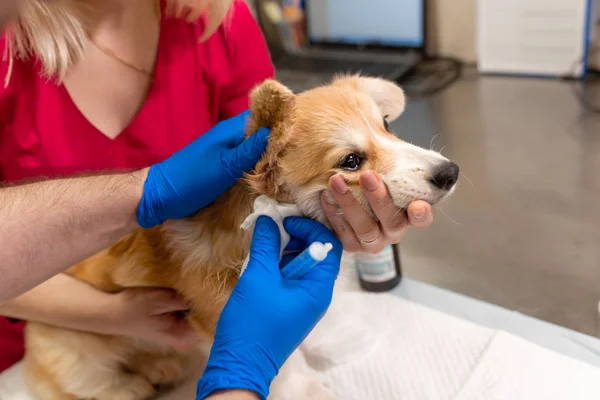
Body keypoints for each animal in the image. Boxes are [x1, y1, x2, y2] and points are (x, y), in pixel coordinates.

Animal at [21, 76, 458, 400]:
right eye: (350, 161)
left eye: (386, 126)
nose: (450, 172)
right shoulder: (225, 316)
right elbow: (282, 363)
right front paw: (309, 388)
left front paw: (338, 343)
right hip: (71, 347)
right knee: (82, 384)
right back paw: (133, 384)